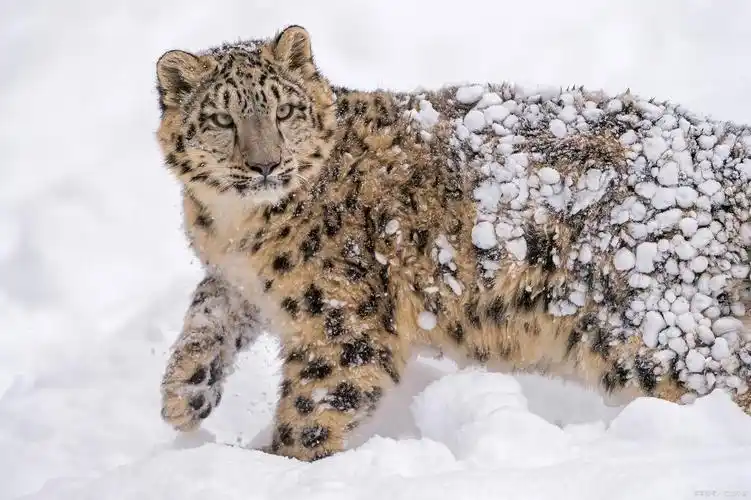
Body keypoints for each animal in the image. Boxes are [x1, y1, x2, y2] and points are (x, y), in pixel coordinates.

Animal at [155, 25, 751, 461]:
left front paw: (279, 465)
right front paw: (184, 396)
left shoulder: (340, 321)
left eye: (284, 110)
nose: (265, 164)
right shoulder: (241, 280)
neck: (235, 227)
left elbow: (313, 406)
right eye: (221, 117)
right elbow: (209, 313)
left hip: (667, 332)